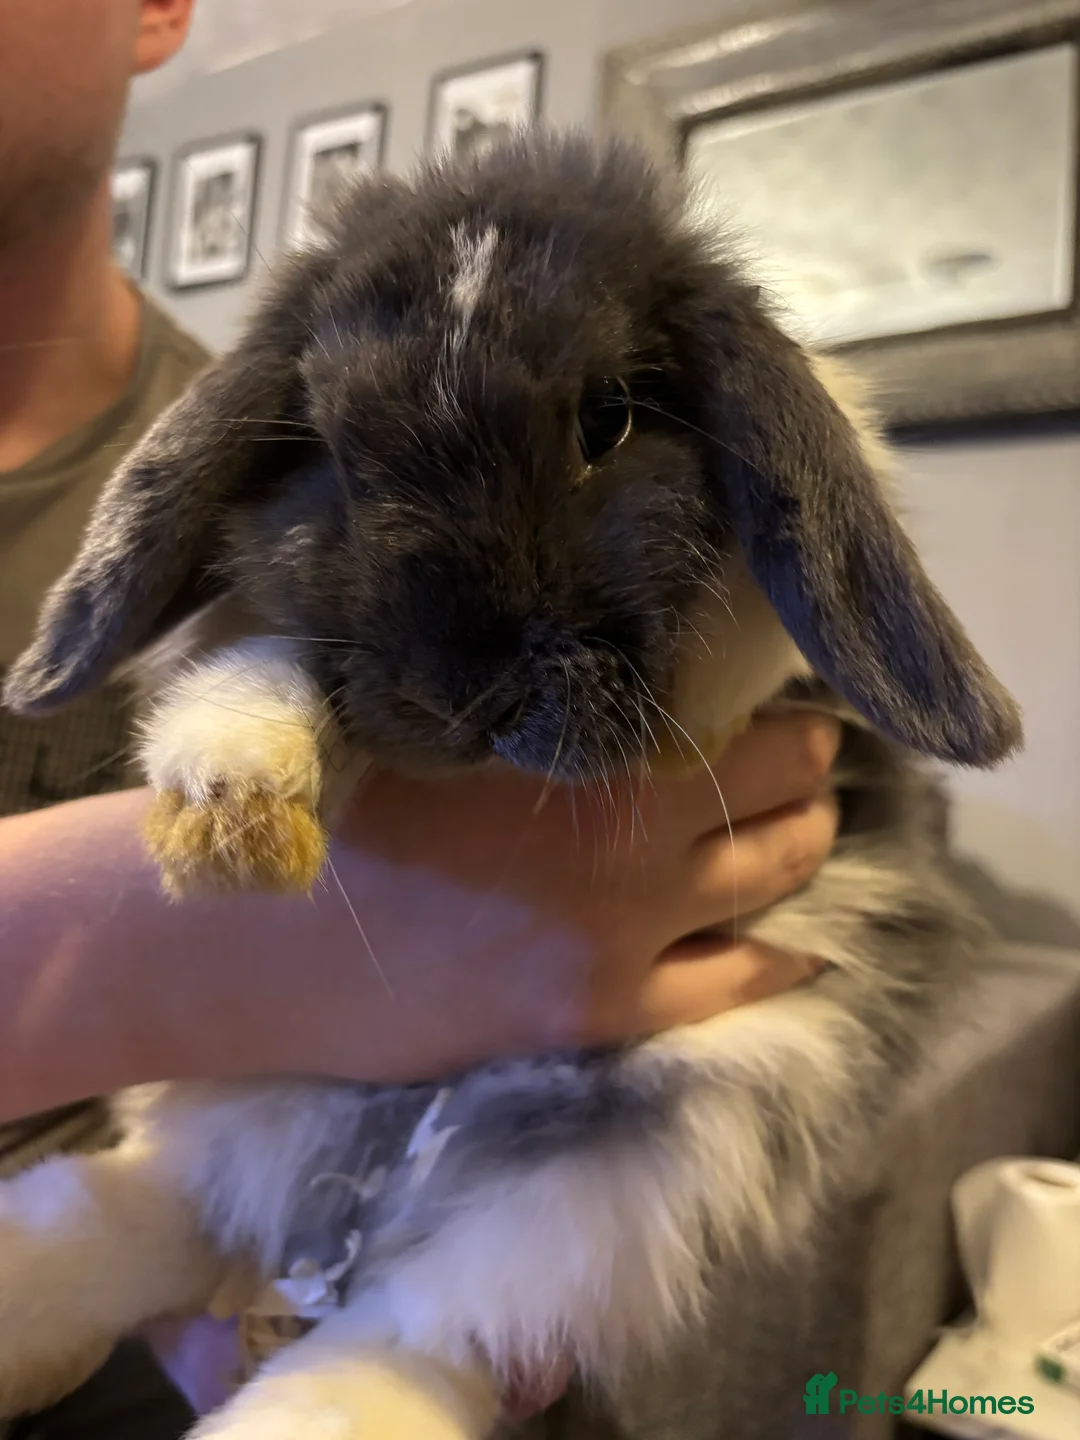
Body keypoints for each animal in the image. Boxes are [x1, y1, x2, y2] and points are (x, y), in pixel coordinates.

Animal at [0, 133, 1021, 1440]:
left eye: (610, 417)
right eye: (324, 444)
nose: (464, 691)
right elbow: (274, 661)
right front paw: (231, 814)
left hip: (604, 1182)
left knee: (418, 1326)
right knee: (142, 1207)